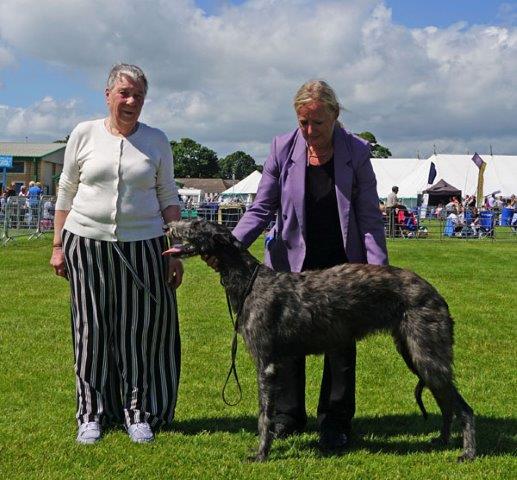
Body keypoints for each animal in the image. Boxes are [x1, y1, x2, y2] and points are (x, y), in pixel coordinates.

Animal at [165, 220, 476, 462]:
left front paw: (261, 453)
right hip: (415, 354)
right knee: (446, 403)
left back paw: (467, 452)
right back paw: (442, 441)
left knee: (463, 407)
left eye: (195, 225)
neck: (250, 283)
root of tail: (436, 294)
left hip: (426, 353)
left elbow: (264, 414)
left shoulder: (266, 363)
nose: (168, 226)